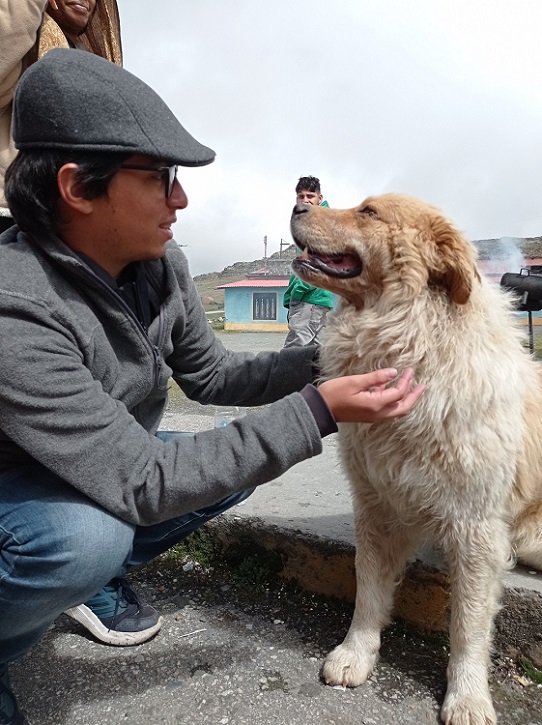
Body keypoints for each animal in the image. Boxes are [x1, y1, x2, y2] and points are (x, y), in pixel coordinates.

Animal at [292, 194, 542, 724]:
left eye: (368, 212)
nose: (297, 207)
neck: (410, 338)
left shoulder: (476, 529)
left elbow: (468, 624)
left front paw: (468, 696)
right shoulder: (376, 505)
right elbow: (367, 588)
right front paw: (356, 653)